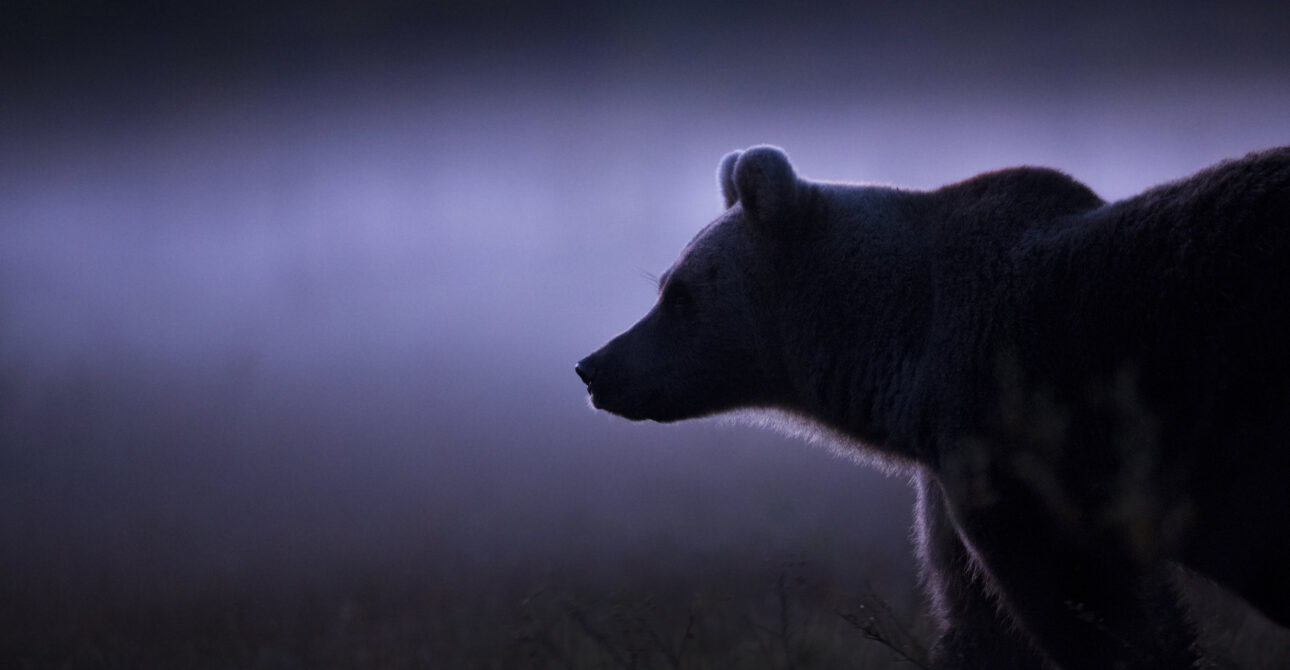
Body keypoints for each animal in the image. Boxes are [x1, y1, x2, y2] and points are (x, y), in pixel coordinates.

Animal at [576, 145, 1290, 669]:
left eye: (679, 293)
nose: (594, 367)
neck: (903, 356)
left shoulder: (1019, 444)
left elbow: (1092, 606)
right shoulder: (953, 471)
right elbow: (980, 618)